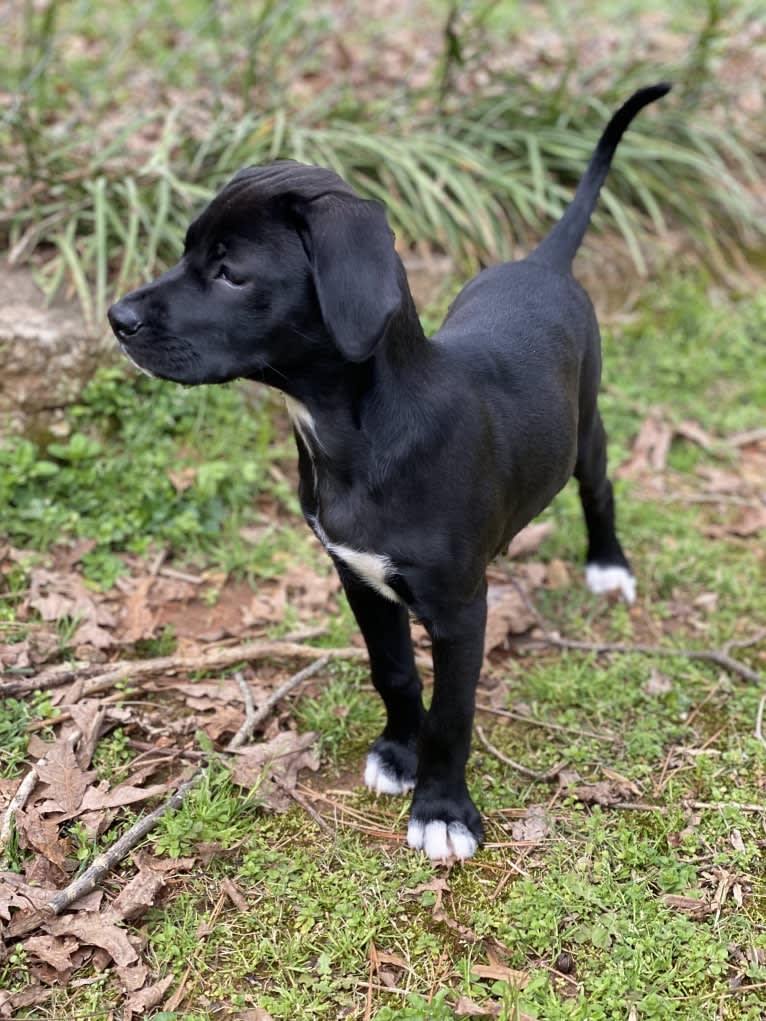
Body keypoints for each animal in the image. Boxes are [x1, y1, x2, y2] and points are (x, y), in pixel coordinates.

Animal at [109, 83, 669, 861]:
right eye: (189, 249)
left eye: (230, 272)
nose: (117, 317)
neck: (360, 435)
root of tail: (542, 263)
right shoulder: (359, 576)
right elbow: (396, 672)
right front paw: (400, 753)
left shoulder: (462, 609)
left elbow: (453, 713)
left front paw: (442, 809)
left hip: (586, 428)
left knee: (601, 491)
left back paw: (609, 566)